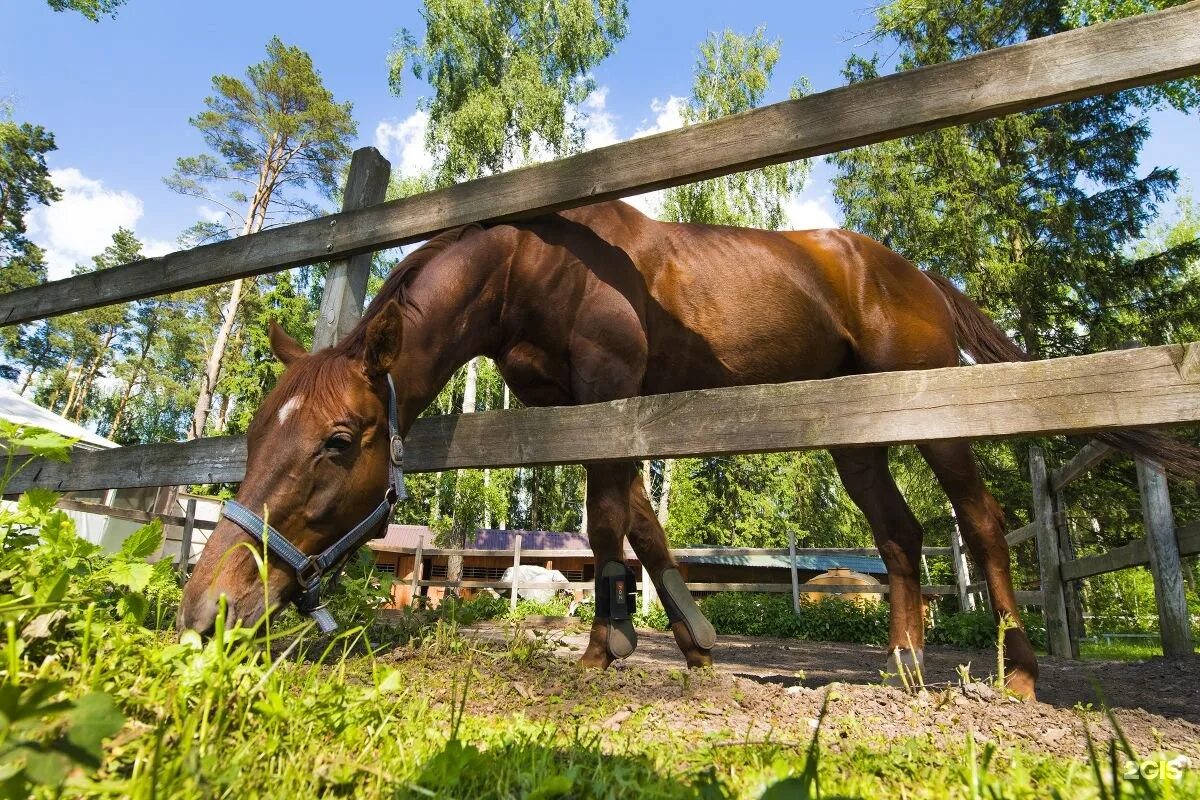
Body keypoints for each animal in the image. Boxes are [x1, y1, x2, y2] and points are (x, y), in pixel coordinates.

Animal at [175, 199, 1190, 700]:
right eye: (259, 432)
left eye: (339, 441)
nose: (207, 608)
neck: (533, 266)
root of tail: (912, 272)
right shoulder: (590, 406)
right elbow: (642, 522)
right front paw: (689, 641)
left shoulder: (609, 391)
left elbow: (607, 518)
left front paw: (606, 645)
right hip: (854, 439)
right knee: (902, 536)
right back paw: (905, 670)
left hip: (926, 412)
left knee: (976, 519)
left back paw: (1016, 675)